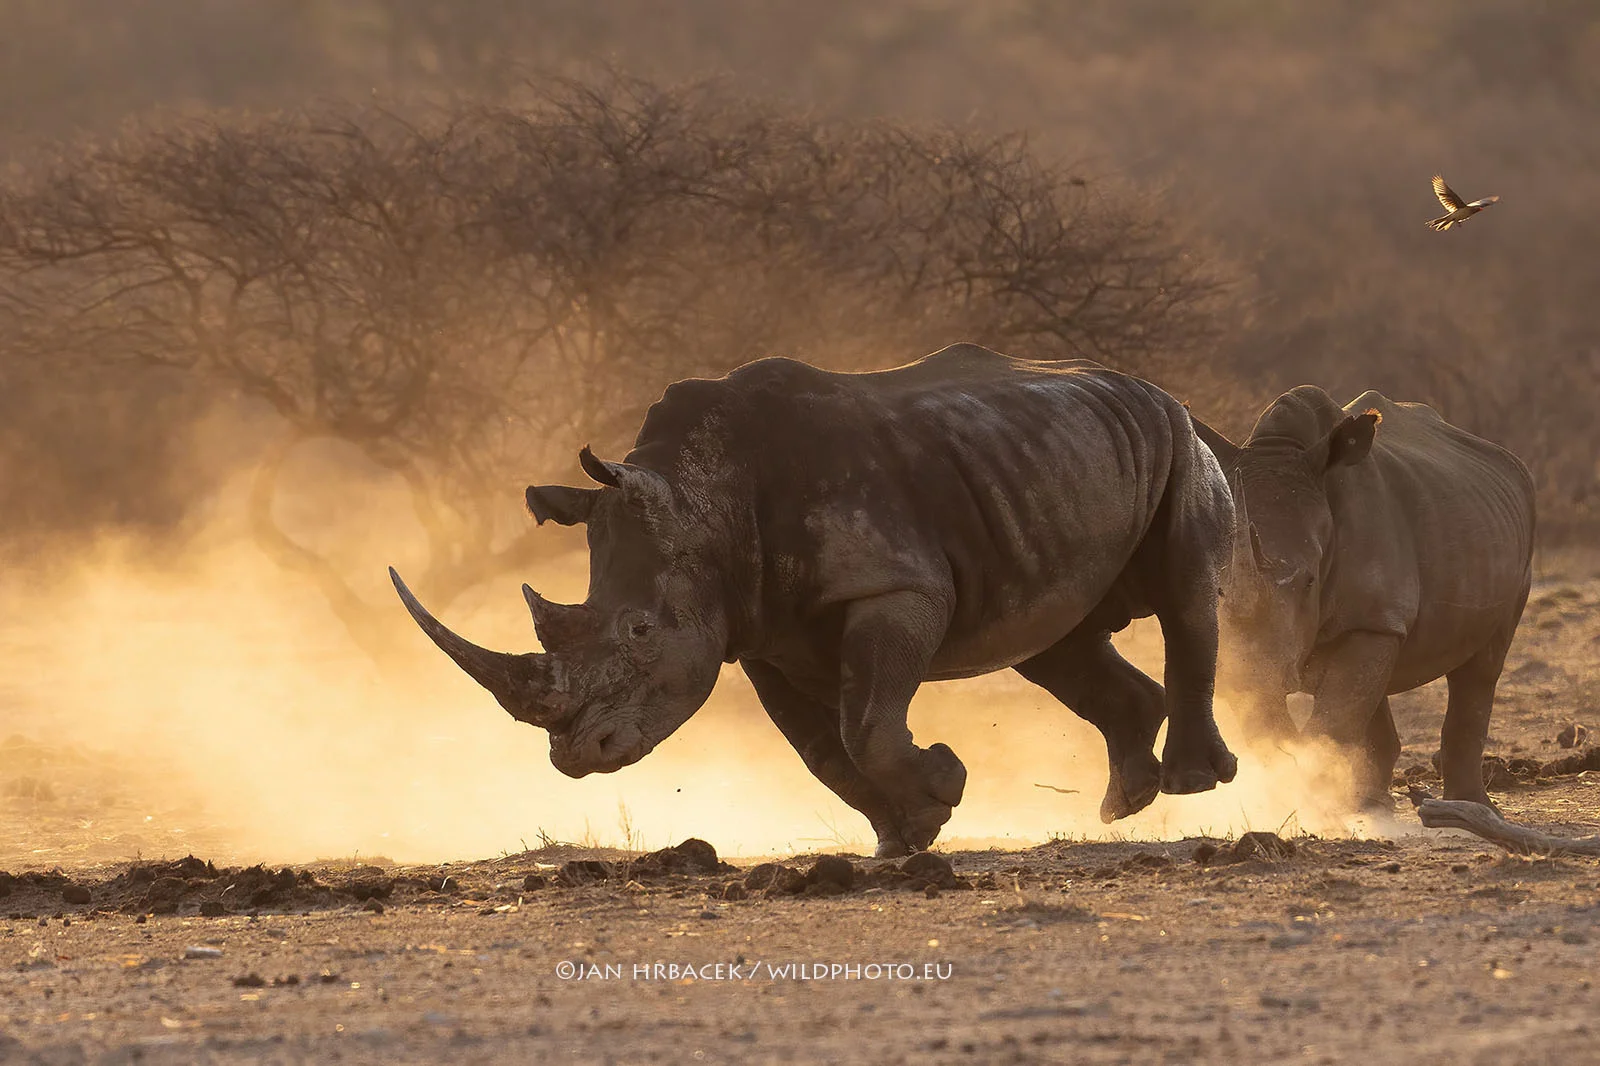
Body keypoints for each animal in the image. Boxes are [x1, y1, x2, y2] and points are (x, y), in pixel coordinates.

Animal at [391, 343, 1239, 856]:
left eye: (639, 631)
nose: (575, 755)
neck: (703, 500)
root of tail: (1150, 386)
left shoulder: (894, 585)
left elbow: (863, 721)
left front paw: (942, 787)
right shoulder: (762, 634)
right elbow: (824, 749)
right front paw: (908, 836)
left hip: (1177, 439)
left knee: (1184, 596)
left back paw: (1191, 783)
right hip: (1053, 465)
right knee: (1058, 640)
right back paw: (1126, 802)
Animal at [1193, 386, 1535, 809]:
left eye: (1309, 581)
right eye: (1215, 586)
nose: (1248, 679)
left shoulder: (1372, 615)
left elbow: (1331, 721)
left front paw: (1310, 793)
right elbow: (1288, 716)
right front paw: (1292, 784)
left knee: (1482, 666)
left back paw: (1470, 807)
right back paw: (1373, 803)